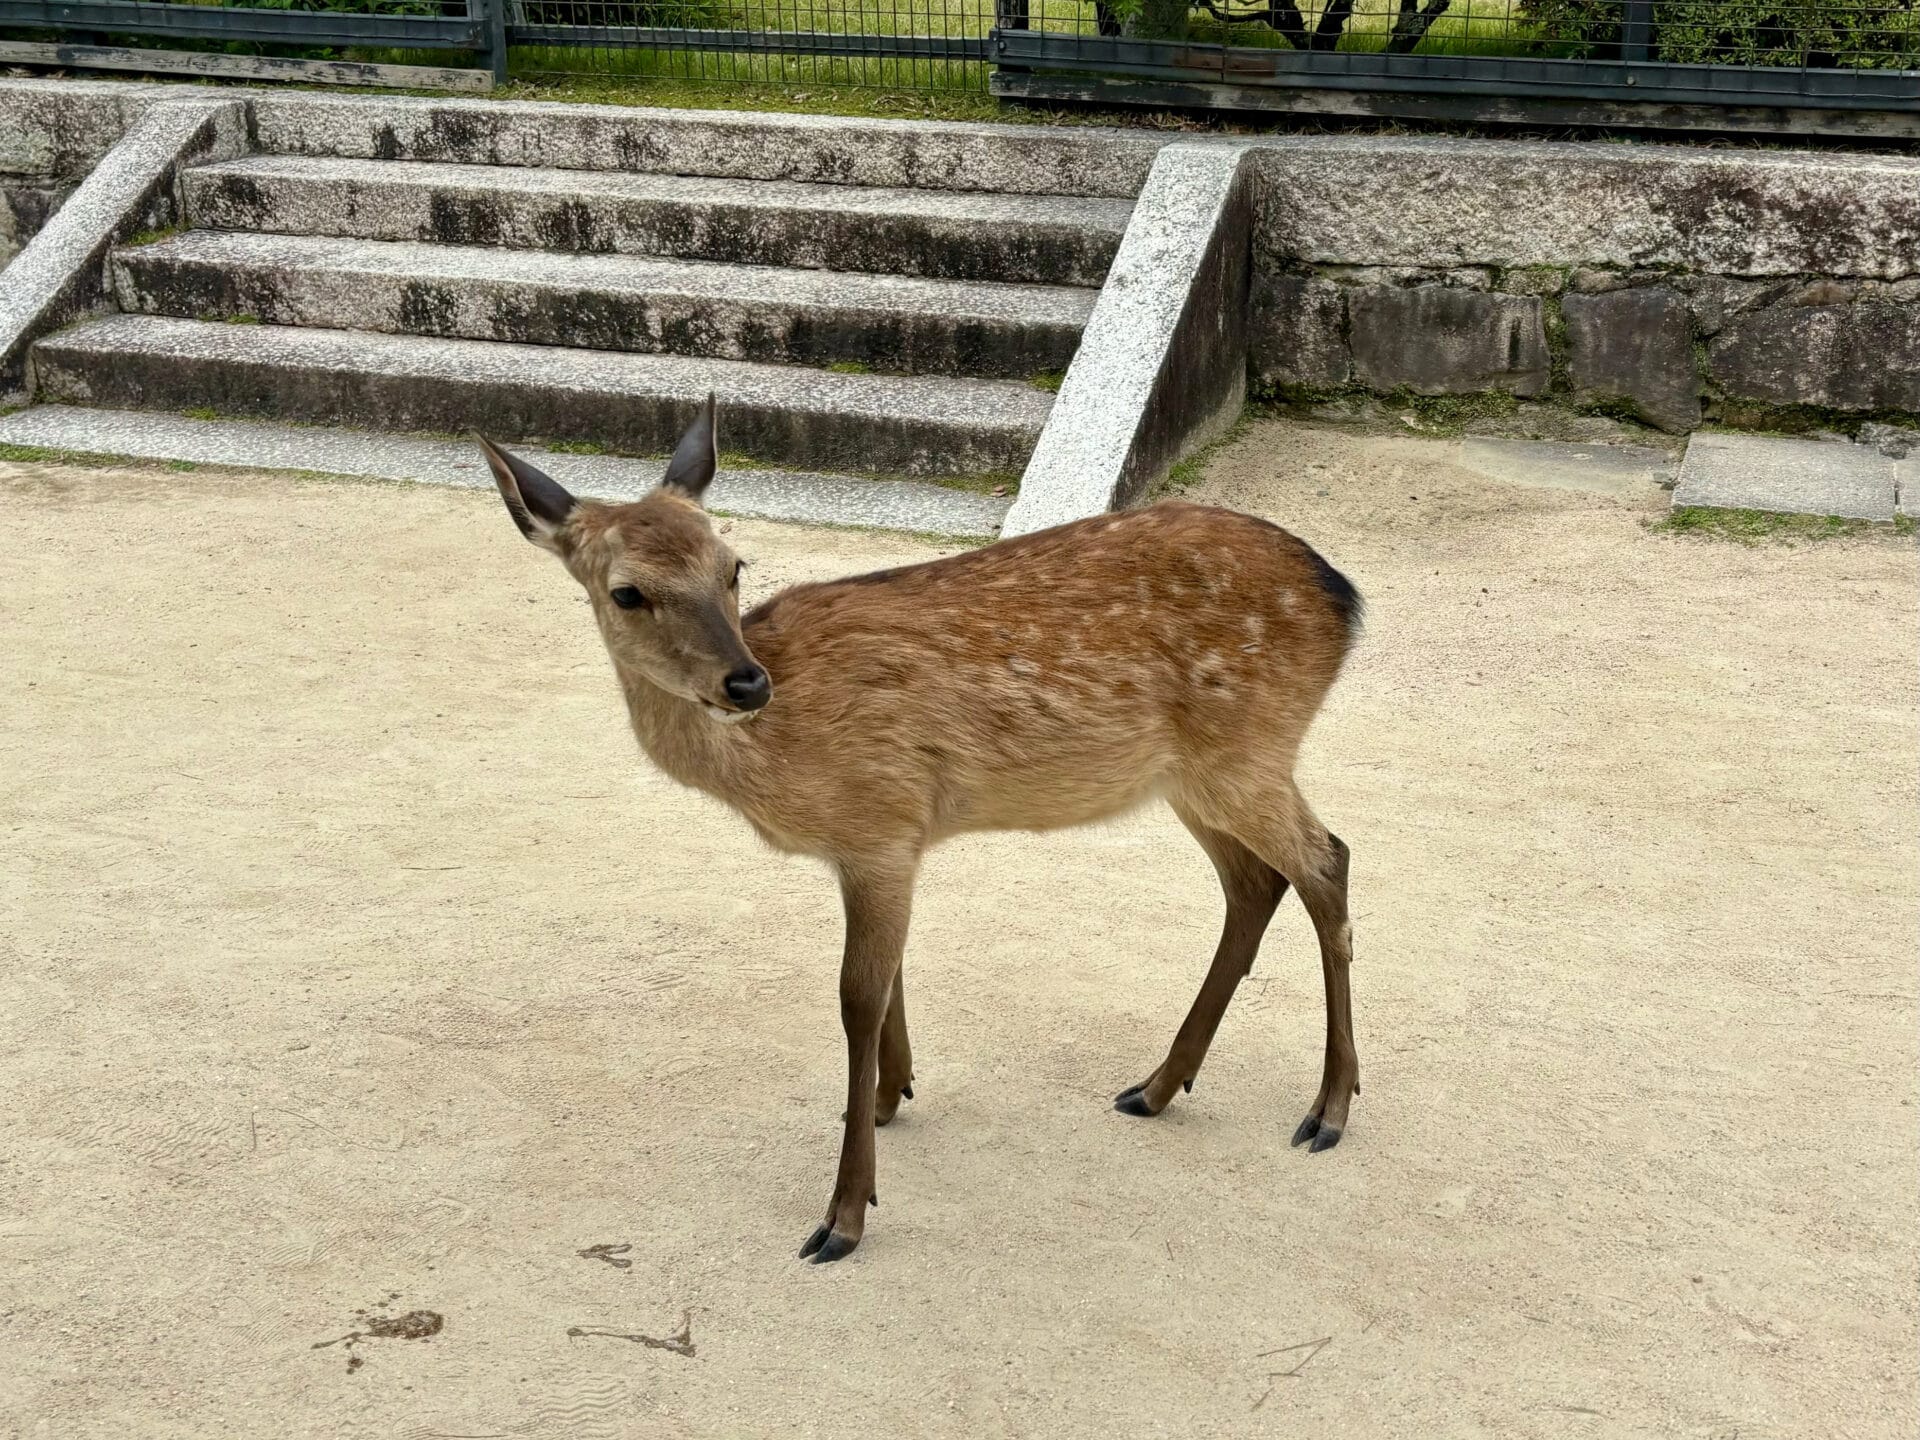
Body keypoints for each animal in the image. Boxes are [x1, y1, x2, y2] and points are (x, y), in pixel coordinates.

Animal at [478, 397, 1363, 1264]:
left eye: (733, 566)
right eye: (627, 592)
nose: (746, 682)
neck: (780, 765)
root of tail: (1343, 595)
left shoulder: (880, 823)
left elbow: (855, 999)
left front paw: (844, 1212)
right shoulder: (881, 840)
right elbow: (888, 978)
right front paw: (887, 1096)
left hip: (1244, 751)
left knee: (1327, 861)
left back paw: (1328, 1109)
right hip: (1190, 777)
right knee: (1258, 881)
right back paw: (1156, 1086)